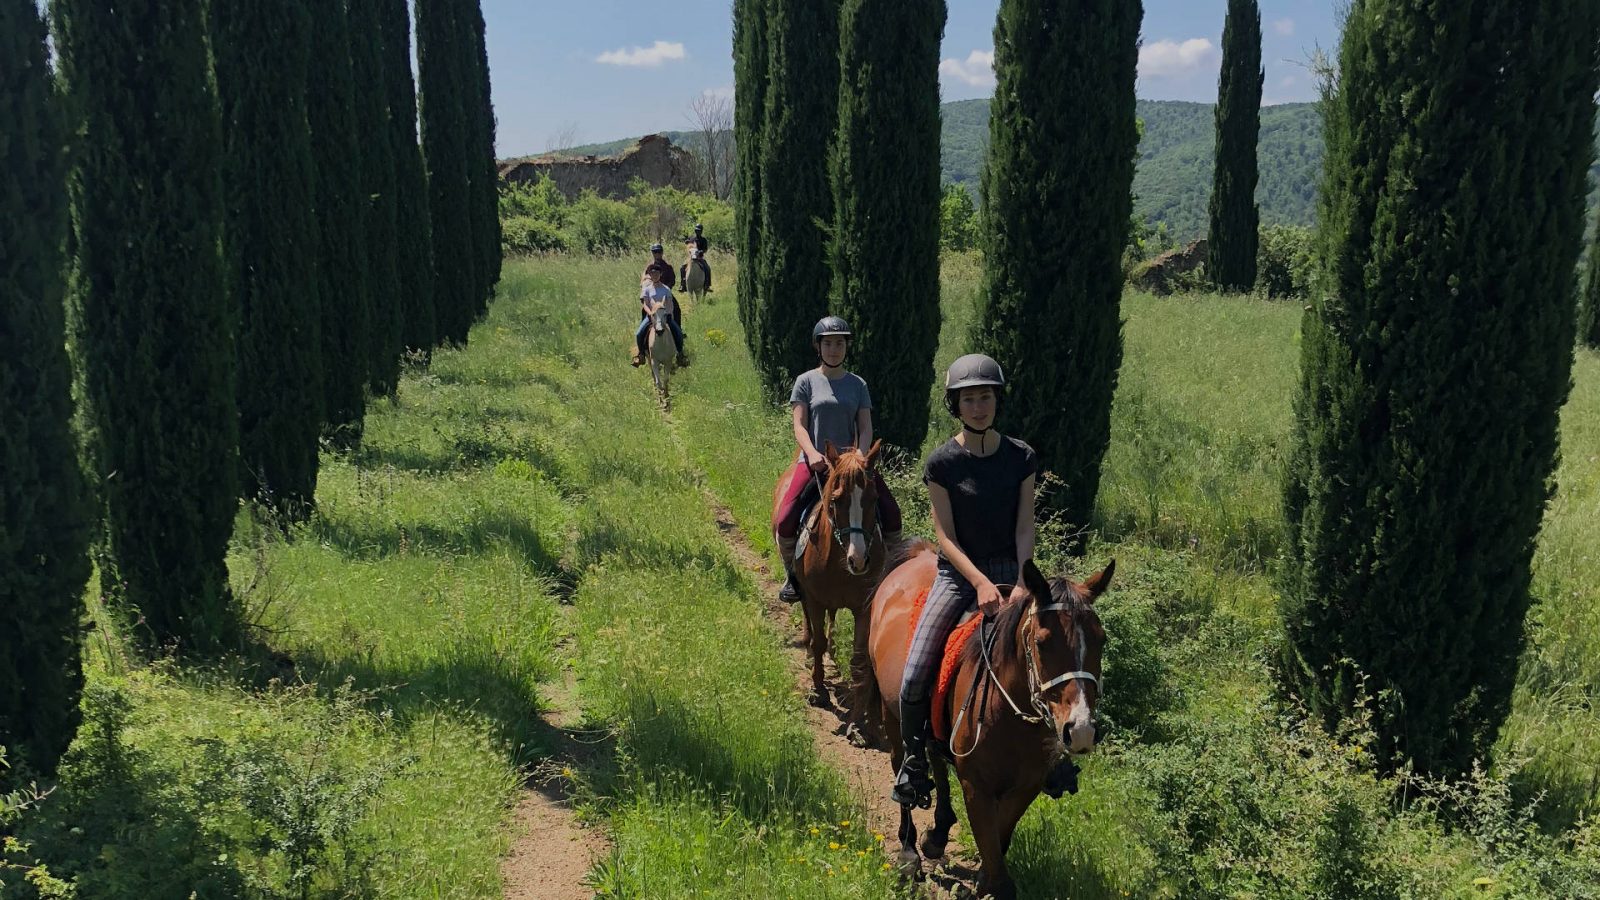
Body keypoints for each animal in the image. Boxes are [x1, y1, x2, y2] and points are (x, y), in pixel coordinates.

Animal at [774, 438, 889, 739]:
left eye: (874, 499)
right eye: (836, 500)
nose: (858, 560)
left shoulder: (863, 608)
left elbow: (859, 661)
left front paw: (858, 723)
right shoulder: (815, 599)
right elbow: (818, 641)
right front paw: (818, 691)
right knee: (810, 625)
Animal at [864, 538, 1113, 896]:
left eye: (1101, 640)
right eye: (1042, 642)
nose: (1080, 730)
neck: (1009, 715)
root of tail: (920, 554)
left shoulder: (1025, 786)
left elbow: (999, 840)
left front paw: (982, 880)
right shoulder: (976, 786)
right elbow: (992, 851)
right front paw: (988, 884)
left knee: (934, 754)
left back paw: (937, 835)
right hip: (892, 713)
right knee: (903, 762)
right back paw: (909, 855)